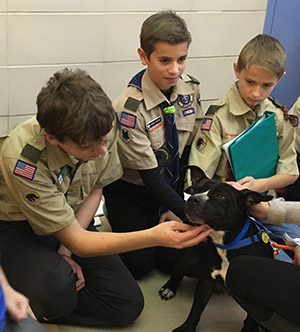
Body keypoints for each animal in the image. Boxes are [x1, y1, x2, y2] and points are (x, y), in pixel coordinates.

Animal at [159, 167, 274, 332]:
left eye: (220, 196)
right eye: (195, 189)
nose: (193, 199)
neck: (225, 244)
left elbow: (252, 318)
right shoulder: (206, 281)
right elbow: (196, 309)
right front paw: (187, 327)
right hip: (190, 259)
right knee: (178, 271)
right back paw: (169, 288)